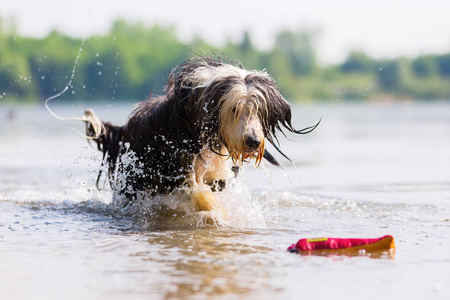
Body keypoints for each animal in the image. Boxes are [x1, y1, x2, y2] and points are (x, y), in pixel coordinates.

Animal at [82, 57, 318, 210]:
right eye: (235, 109)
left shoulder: (218, 174)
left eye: (259, 111)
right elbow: (200, 195)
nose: (253, 141)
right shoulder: (182, 169)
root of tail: (123, 128)